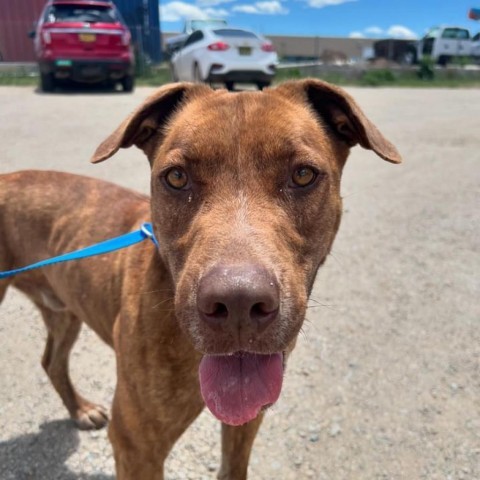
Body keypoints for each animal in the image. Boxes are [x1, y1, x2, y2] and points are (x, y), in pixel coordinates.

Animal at [0, 80, 402, 478]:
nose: (237, 303)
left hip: (63, 311)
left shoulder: (248, 415)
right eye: (176, 178)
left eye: (303, 175)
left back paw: (79, 409)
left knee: (52, 360)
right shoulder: (136, 446)